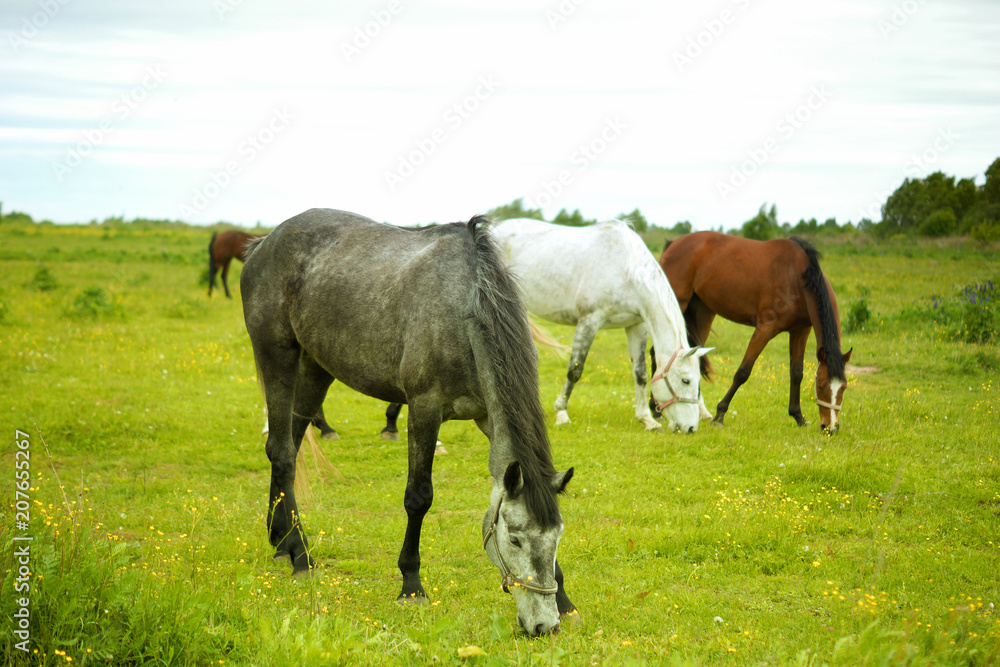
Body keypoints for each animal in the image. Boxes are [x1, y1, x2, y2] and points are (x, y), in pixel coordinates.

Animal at [241, 209, 580, 636]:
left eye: (557, 537)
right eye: (515, 539)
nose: (543, 626)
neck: (464, 310)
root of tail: (263, 244)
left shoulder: (488, 418)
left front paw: (565, 599)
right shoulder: (424, 409)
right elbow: (419, 497)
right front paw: (411, 584)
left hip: (316, 367)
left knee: (292, 444)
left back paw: (281, 540)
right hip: (277, 354)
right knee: (283, 453)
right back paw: (301, 556)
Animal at [490, 219, 712, 434]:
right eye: (685, 380)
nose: (691, 428)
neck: (626, 271)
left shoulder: (637, 326)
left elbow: (640, 373)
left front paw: (646, 419)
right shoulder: (589, 321)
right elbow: (575, 370)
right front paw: (561, 414)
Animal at [656, 234, 852, 434]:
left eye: (843, 388)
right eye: (820, 386)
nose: (831, 428)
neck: (797, 278)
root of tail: (673, 243)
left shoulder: (800, 331)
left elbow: (797, 373)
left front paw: (798, 416)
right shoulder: (765, 329)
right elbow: (743, 372)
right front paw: (720, 415)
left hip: (702, 311)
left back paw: (698, 411)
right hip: (678, 304)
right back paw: (657, 410)